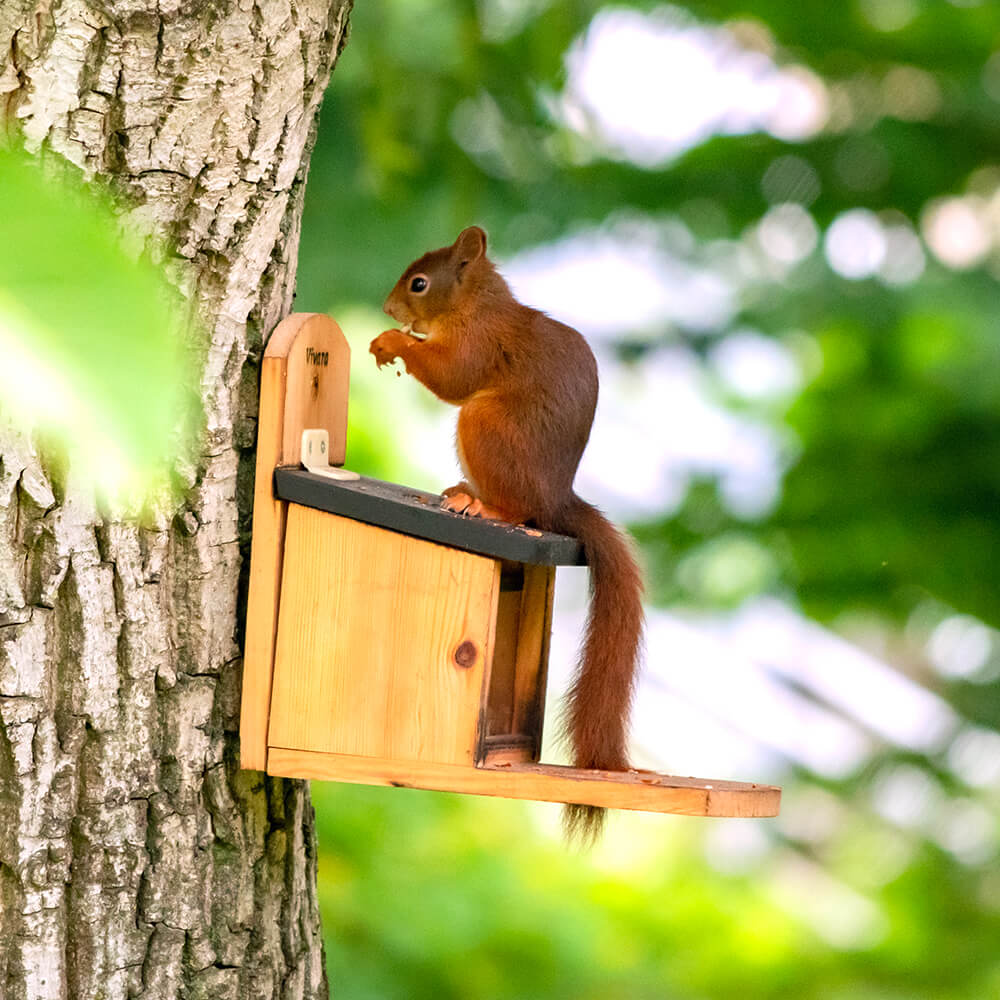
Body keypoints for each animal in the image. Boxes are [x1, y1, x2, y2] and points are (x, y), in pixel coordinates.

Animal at [372, 225, 644, 836]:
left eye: (419, 283)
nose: (389, 309)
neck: (476, 305)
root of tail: (557, 499)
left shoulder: (479, 344)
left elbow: (452, 377)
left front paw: (392, 342)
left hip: (486, 427)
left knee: (519, 511)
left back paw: (486, 508)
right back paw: (459, 492)